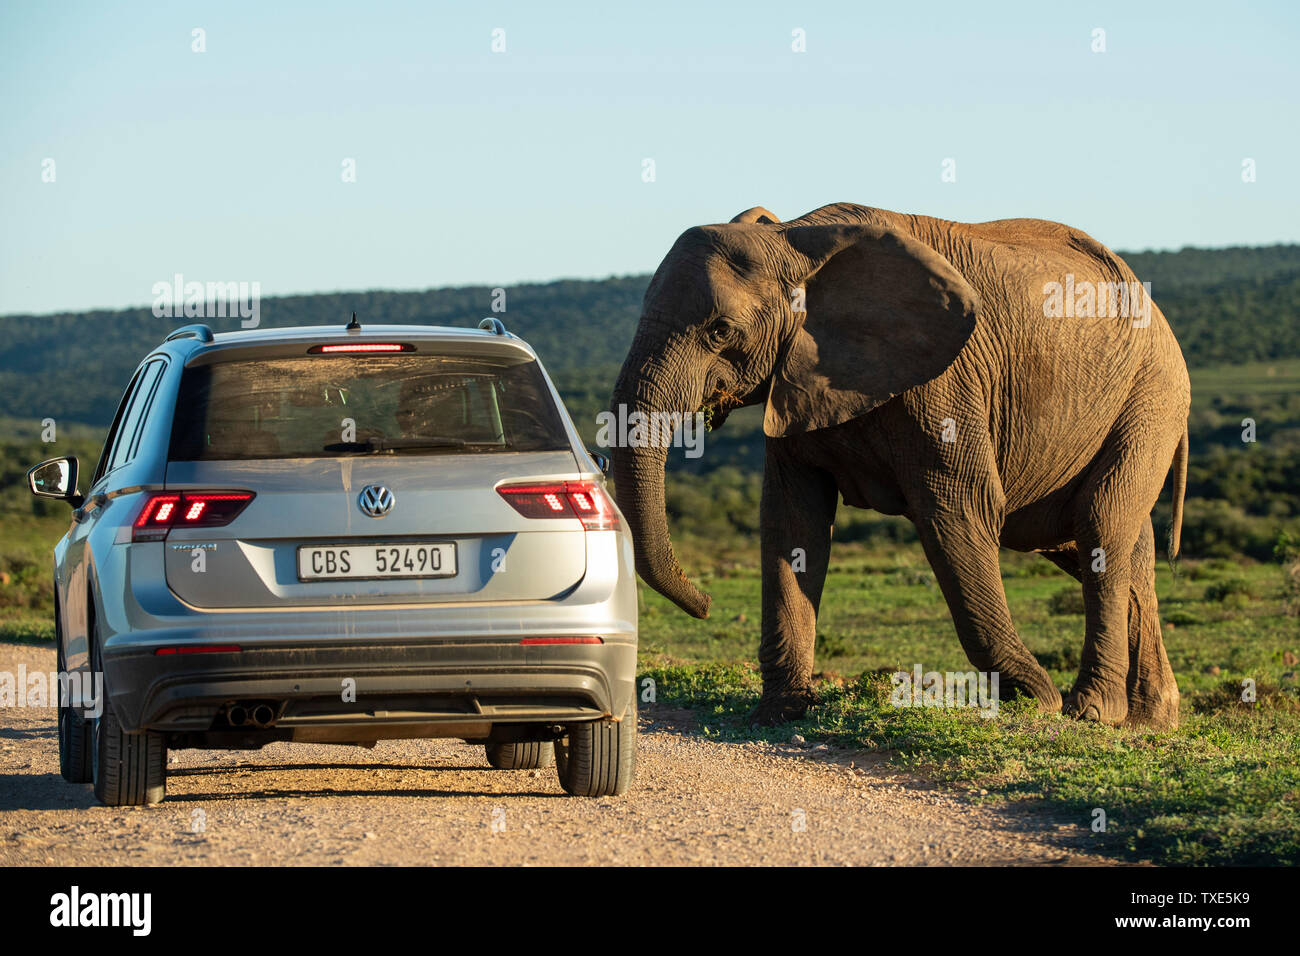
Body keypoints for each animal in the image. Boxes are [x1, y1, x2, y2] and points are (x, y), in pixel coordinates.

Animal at [610, 202, 1189, 730]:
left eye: (721, 330)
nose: (707, 602)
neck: (794, 238)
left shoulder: (945, 382)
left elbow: (958, 509)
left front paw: (1038, 699)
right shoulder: (794, 381)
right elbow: (792, 523)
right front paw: (778, 715)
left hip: (1151, 395)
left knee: (1099, 526)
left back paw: (1094, 712)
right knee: (1105, 545)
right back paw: (1151, 719)